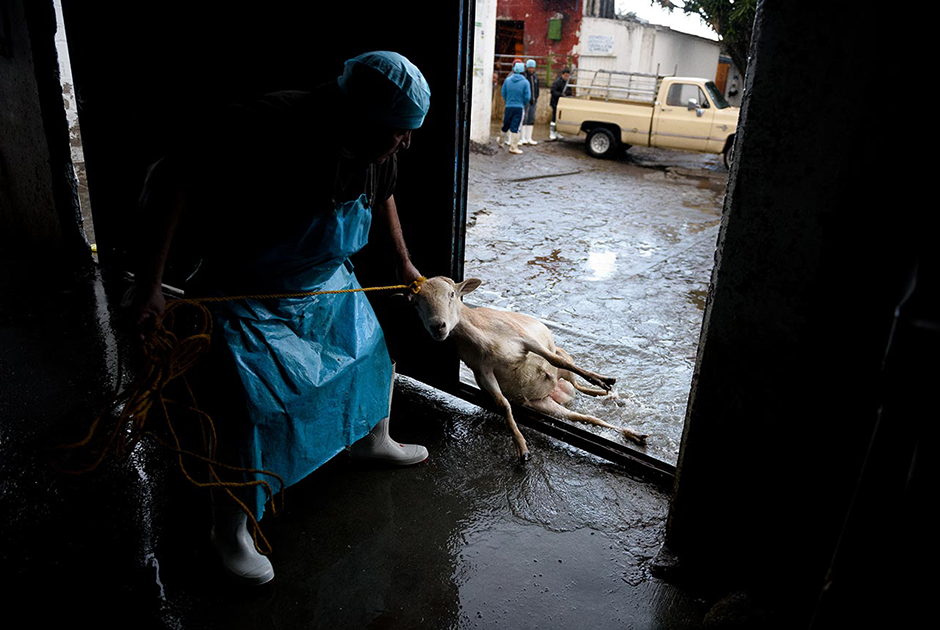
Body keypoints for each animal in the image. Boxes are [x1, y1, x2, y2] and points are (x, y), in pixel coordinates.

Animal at [412, 278, 648, 462]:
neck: (484, 336)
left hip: (563, 355)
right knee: (584, 417)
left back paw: (607, 392)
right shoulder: (483, 371)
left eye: (452, 294)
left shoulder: (526, 340)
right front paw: (522, 448)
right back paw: (633, 433)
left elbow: (556, 360)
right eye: (417, 303)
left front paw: (601, 380)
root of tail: (557, 391)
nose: (438, 326)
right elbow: (503, 404)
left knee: (573, 376)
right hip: (544, 404)